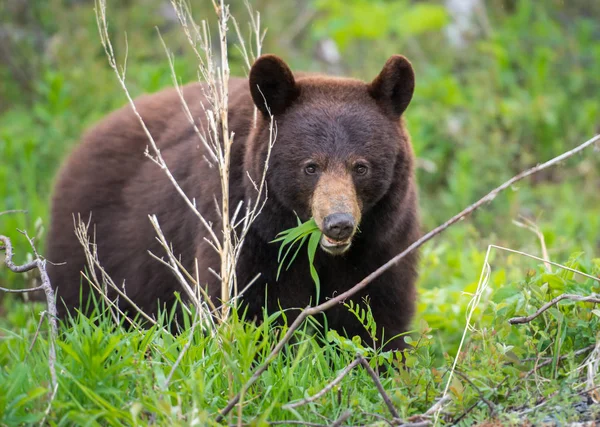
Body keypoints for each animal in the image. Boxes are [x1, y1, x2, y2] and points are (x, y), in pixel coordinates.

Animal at [47, 54, 420, 352]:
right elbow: (251, 311)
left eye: (361, 167)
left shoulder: (382, 242)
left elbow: (374, 319)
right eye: (311, 167)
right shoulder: (245, 229)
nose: (339, 223)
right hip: (97, 251)